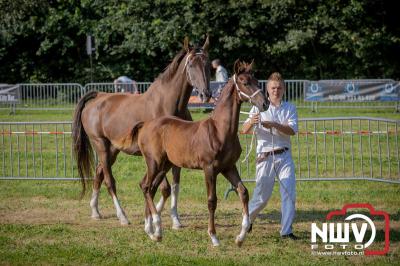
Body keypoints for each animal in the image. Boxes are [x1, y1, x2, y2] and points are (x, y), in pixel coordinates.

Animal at [137, 60, 268, 247]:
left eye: (257, 81)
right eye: (245, 82)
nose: (265, 103)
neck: (220, 130)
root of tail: (145, 126)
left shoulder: (229, 167)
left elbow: (243, 192)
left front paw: (240, 236)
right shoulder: (209, 169)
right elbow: (212, 201)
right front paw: (213, 236)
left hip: (164, 165)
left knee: (148, 187)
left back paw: (150, 231)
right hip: (154, 163)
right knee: (147, 187)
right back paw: (157, 229)